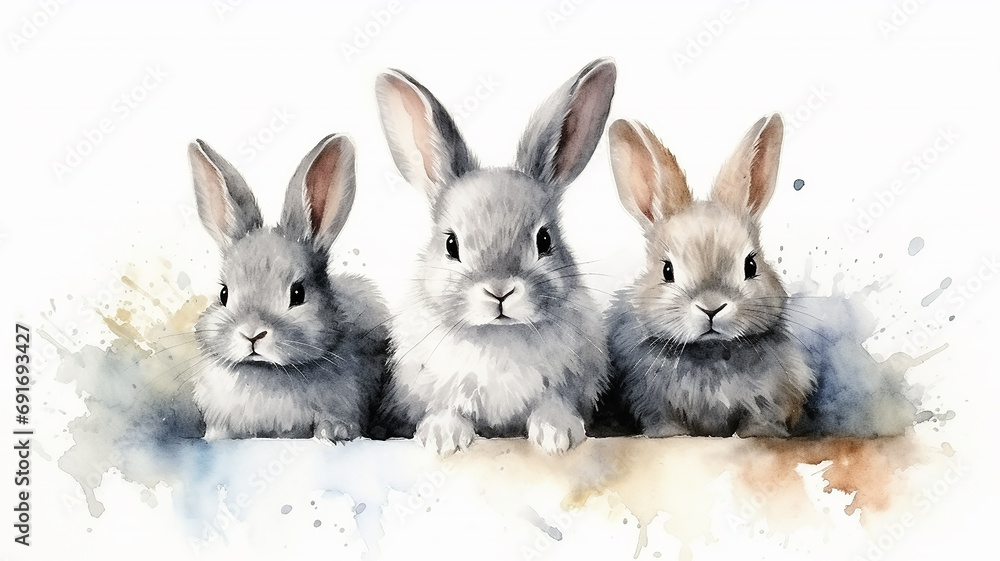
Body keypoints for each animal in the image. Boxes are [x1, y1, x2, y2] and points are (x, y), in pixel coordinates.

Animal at [373, 58, 616, 455]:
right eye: (451, 244)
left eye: (544, 240)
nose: (499, 290)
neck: (498, 336)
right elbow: (445, 408)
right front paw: (443, 437)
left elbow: (554, 403)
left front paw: (557, 434)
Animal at [603, 114, 815, 438]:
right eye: (667, 271)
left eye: (751, 266)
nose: (712, 308)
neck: (711, 351)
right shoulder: (649, 400)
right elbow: (663, 420)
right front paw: (670, 435)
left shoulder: (775, 393)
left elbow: (762, 417)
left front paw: (760, 433)